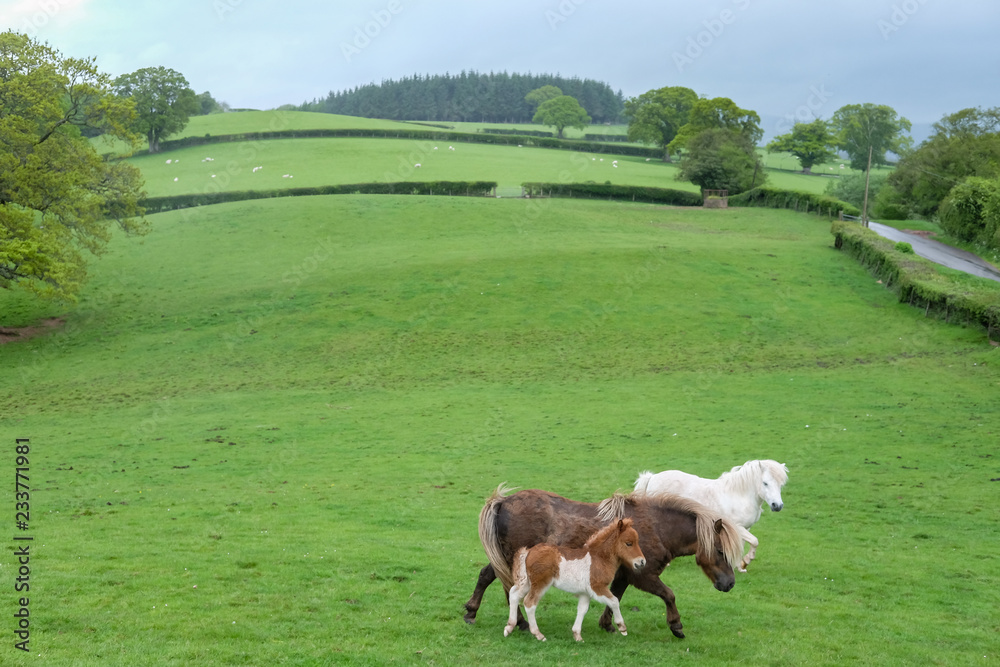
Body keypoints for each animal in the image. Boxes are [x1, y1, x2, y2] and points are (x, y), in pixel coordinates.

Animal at [504, 518, 646, 642]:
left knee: (514, 594)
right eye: (629, 543)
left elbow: (582, 610)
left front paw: (577, 635)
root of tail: (529, 552)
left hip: (528, 582)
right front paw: (622, 627)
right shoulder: (597, 587)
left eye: (637, 541)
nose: (642, 562)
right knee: (529, 602)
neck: (599, 558)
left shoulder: (585, 593)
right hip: (540, 584)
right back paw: (538, 634)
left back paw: (509, 627)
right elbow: (614, 601)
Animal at [634, 459, 788, 572]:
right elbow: (754, 541)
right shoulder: (737, 527)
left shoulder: (745, 528)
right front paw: (746, 561)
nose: (777, 505)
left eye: (781, 485)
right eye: (765, 483)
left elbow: (743, 544)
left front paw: (740, 566)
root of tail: (652, 477)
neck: (738, 495)